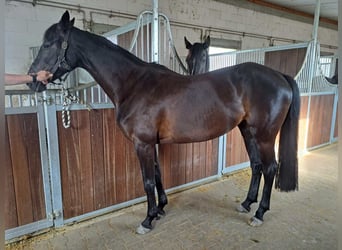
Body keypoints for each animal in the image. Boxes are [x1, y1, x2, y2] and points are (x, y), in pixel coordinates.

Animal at [27, 11, 300, 234]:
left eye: (49, 43)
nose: (33, 81)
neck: (134, 83)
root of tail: (280, 76)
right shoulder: (151, 143)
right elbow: (157, 175)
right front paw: (160, 209)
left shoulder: (142, 143)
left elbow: (147, 180)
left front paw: (147, 220)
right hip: (247, 131)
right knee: (256, 165)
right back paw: (246, 204)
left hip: (265, 136)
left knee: (270, 168)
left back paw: (259, 213)